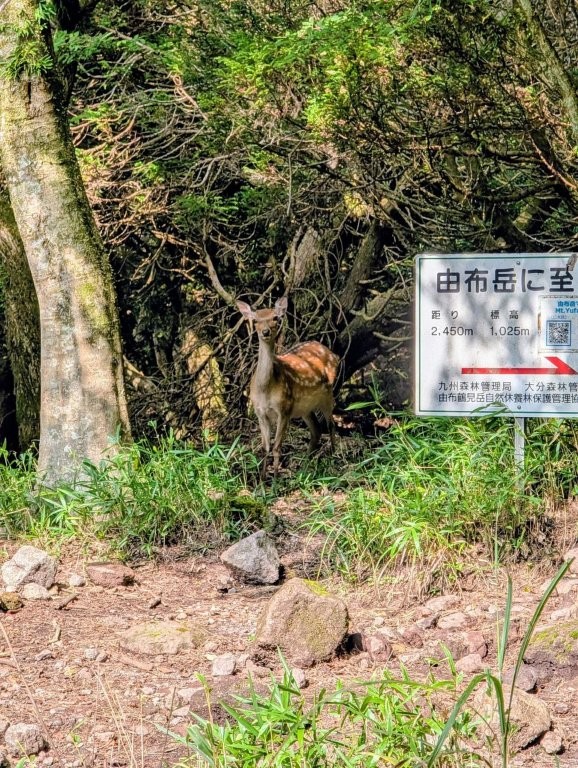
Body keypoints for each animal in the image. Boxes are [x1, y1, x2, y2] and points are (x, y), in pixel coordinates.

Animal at [237, 296, 340, 479]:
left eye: (275, 318)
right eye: (255, 320)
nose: (265, 332)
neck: (265, 389)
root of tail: (333, 353)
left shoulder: (284, 408)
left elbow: (277, 448)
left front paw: (275, 482)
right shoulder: (259, 412)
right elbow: (266, 448)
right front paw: (262, 481)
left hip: (328, 394)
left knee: (331, 424)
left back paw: (333, 459)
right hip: (305, 407)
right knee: (316, 430)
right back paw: (304, 467)